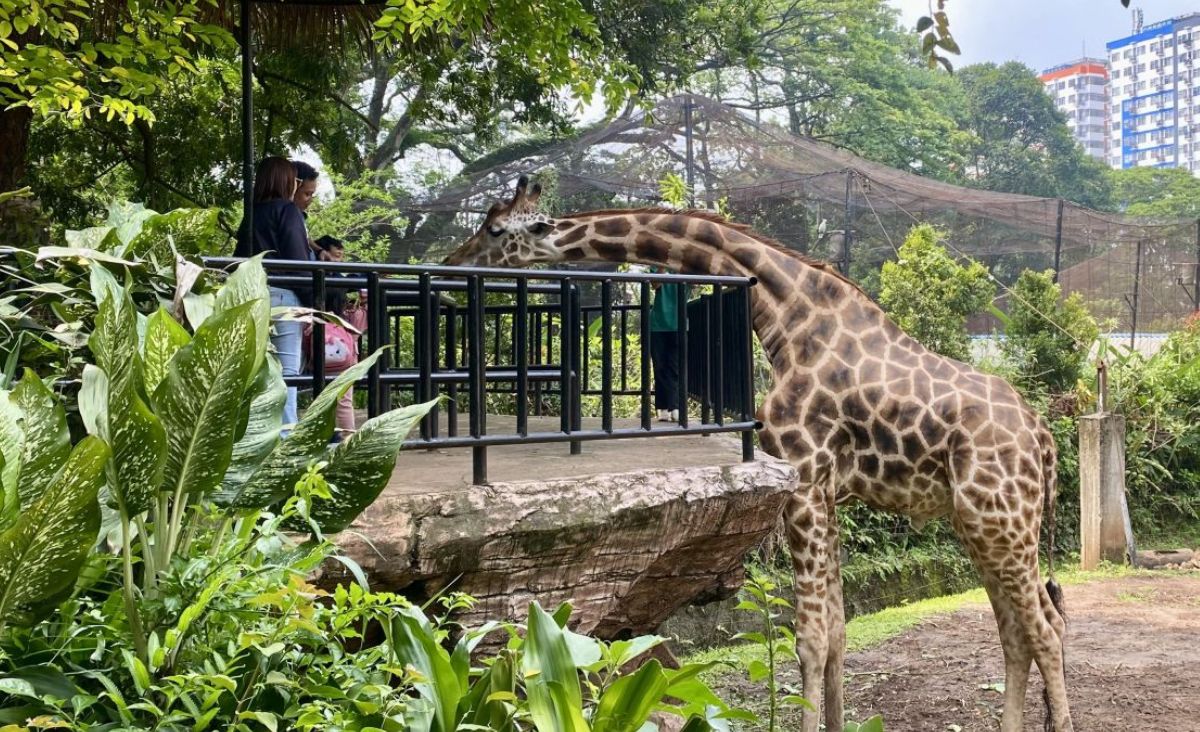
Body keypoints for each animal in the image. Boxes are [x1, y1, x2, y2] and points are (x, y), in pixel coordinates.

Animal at [448, 176, 1070, 729]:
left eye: (495, 228)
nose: (453, 260)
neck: (787, 319)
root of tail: (1043, 439)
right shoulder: (827, 491)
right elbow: (837, 632)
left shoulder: (803, 479)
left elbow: (811, 638)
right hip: (982, 525)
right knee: (1017, 632)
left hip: (1000, 521)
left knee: (1045, 630)